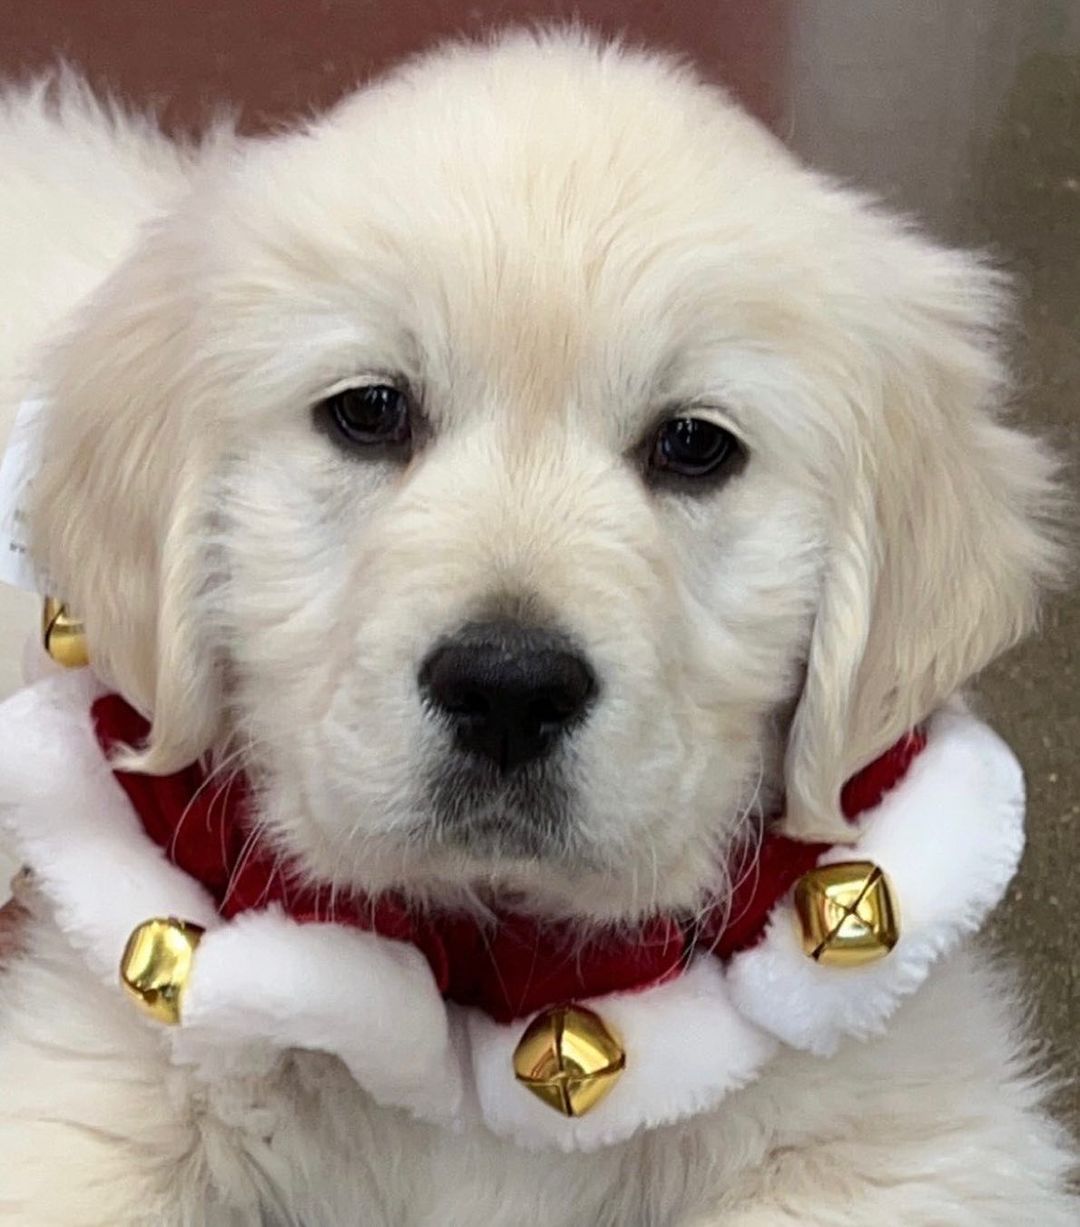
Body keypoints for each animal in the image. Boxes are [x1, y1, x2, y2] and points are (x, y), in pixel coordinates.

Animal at [0, 31, 1075, 1227]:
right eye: (369, 412)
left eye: (694, 445)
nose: (508, 689)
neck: (498, 965)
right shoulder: (89, 1089)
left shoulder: (912, 1131)